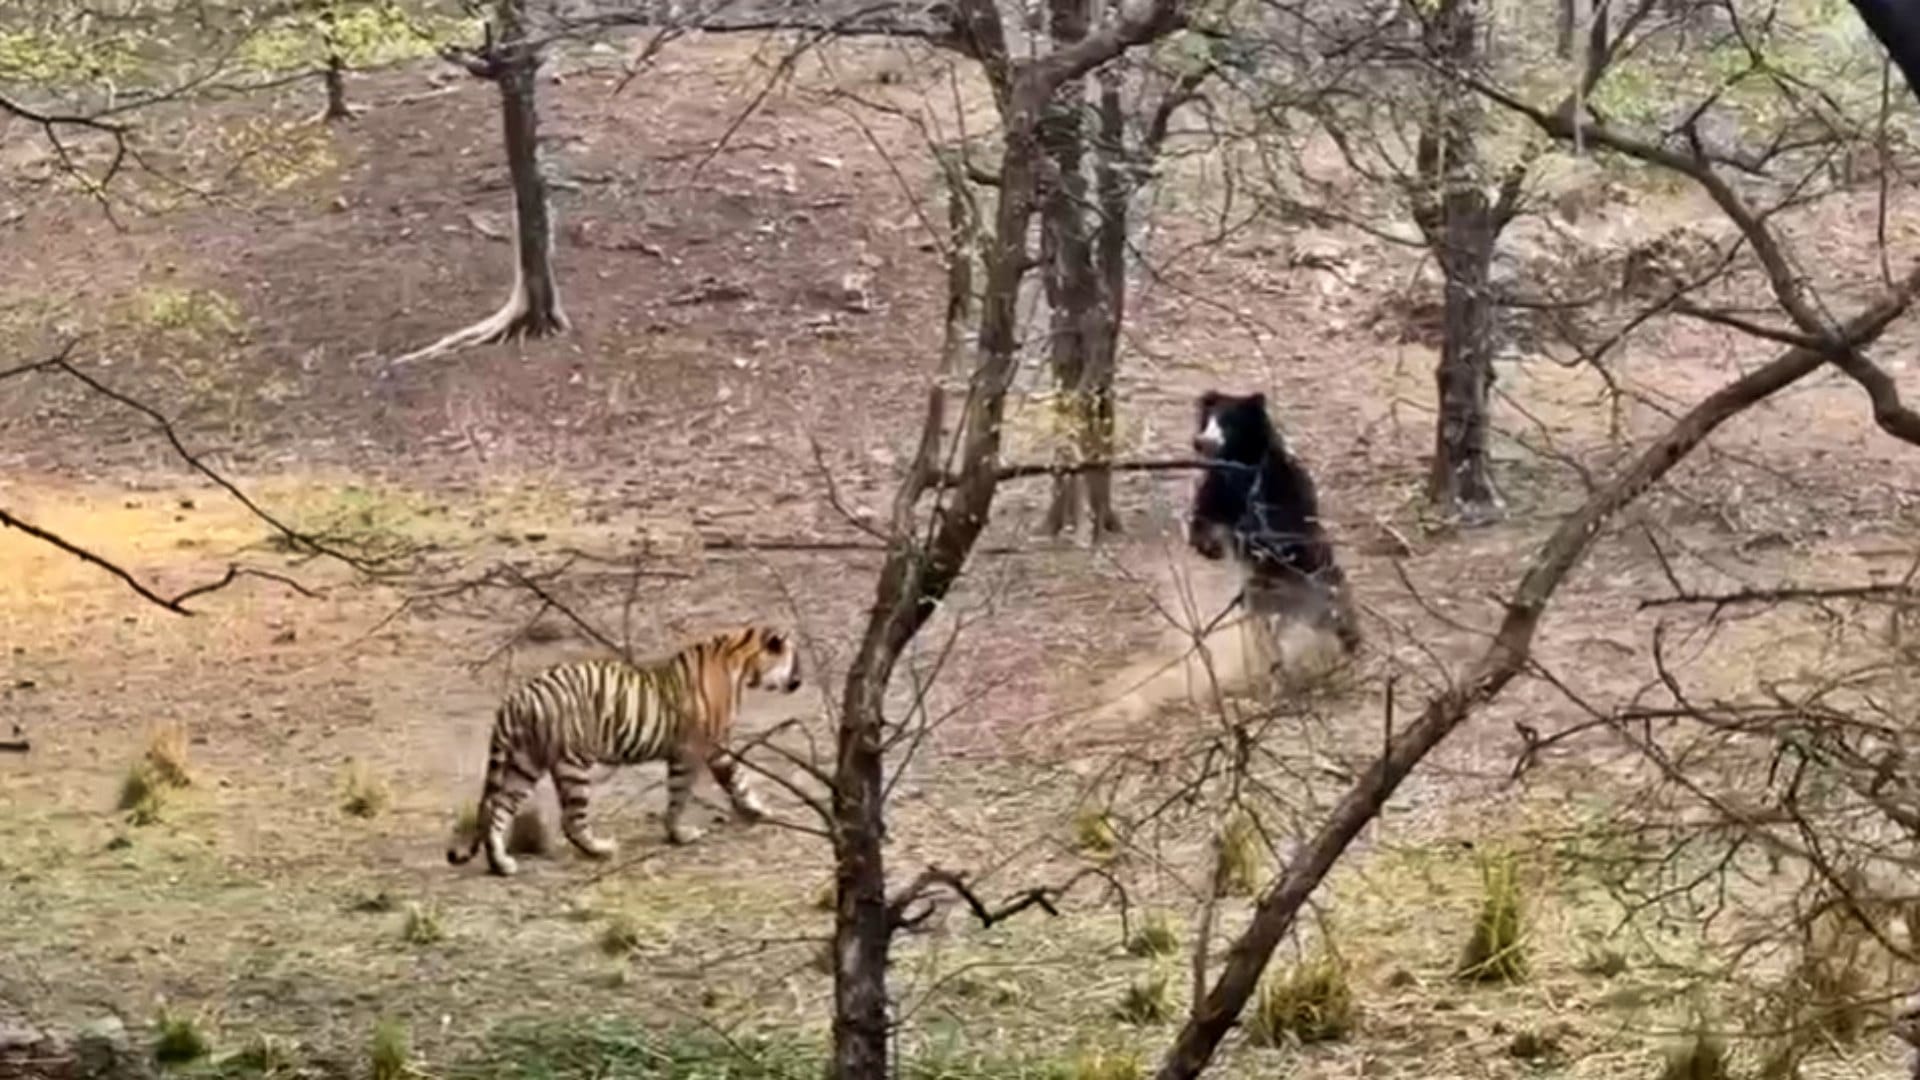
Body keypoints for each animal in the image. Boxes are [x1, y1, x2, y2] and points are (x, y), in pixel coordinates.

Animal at [446, 625, 803, 876]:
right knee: (571, 820)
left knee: (498, 809)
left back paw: (501, 865)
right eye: (794, 659)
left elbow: (737, 779)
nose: (799, 681)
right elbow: (687, 793)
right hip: (572, 763)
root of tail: (517, 696)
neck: (740, 663)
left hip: (524, 763)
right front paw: (681, 833)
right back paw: (602, 849)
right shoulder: (699, 748)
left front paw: (757, 810)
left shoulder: (711, 748)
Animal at [1187, 390, 1362, 657]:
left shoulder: (1281, 490)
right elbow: (1204, 513)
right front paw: (1209, 547)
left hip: (1318, 574)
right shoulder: (1219, 488)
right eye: (1207, 421)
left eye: (1229, 422)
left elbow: (1280, 525)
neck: (1241, 464)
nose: (1201, 442)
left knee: (1336, 597)